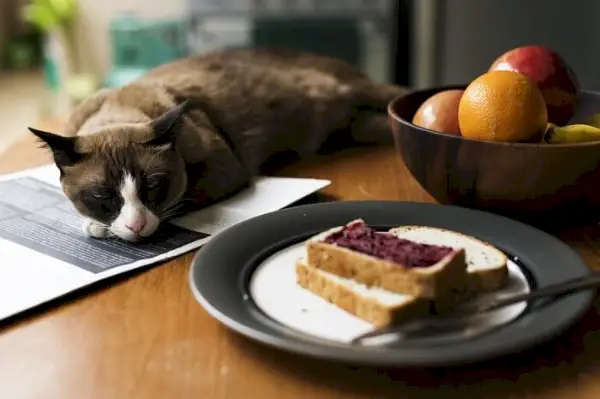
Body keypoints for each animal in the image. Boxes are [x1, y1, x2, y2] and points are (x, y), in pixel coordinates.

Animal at [30, 46, 410, 241]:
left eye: (153, 186)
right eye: (102, 196)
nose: (136, 226)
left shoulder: (224, 169)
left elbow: (182, 200)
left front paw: (103, 228)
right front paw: (99, 224)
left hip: (360, 91)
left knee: (398, 96)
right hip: (357, 128)